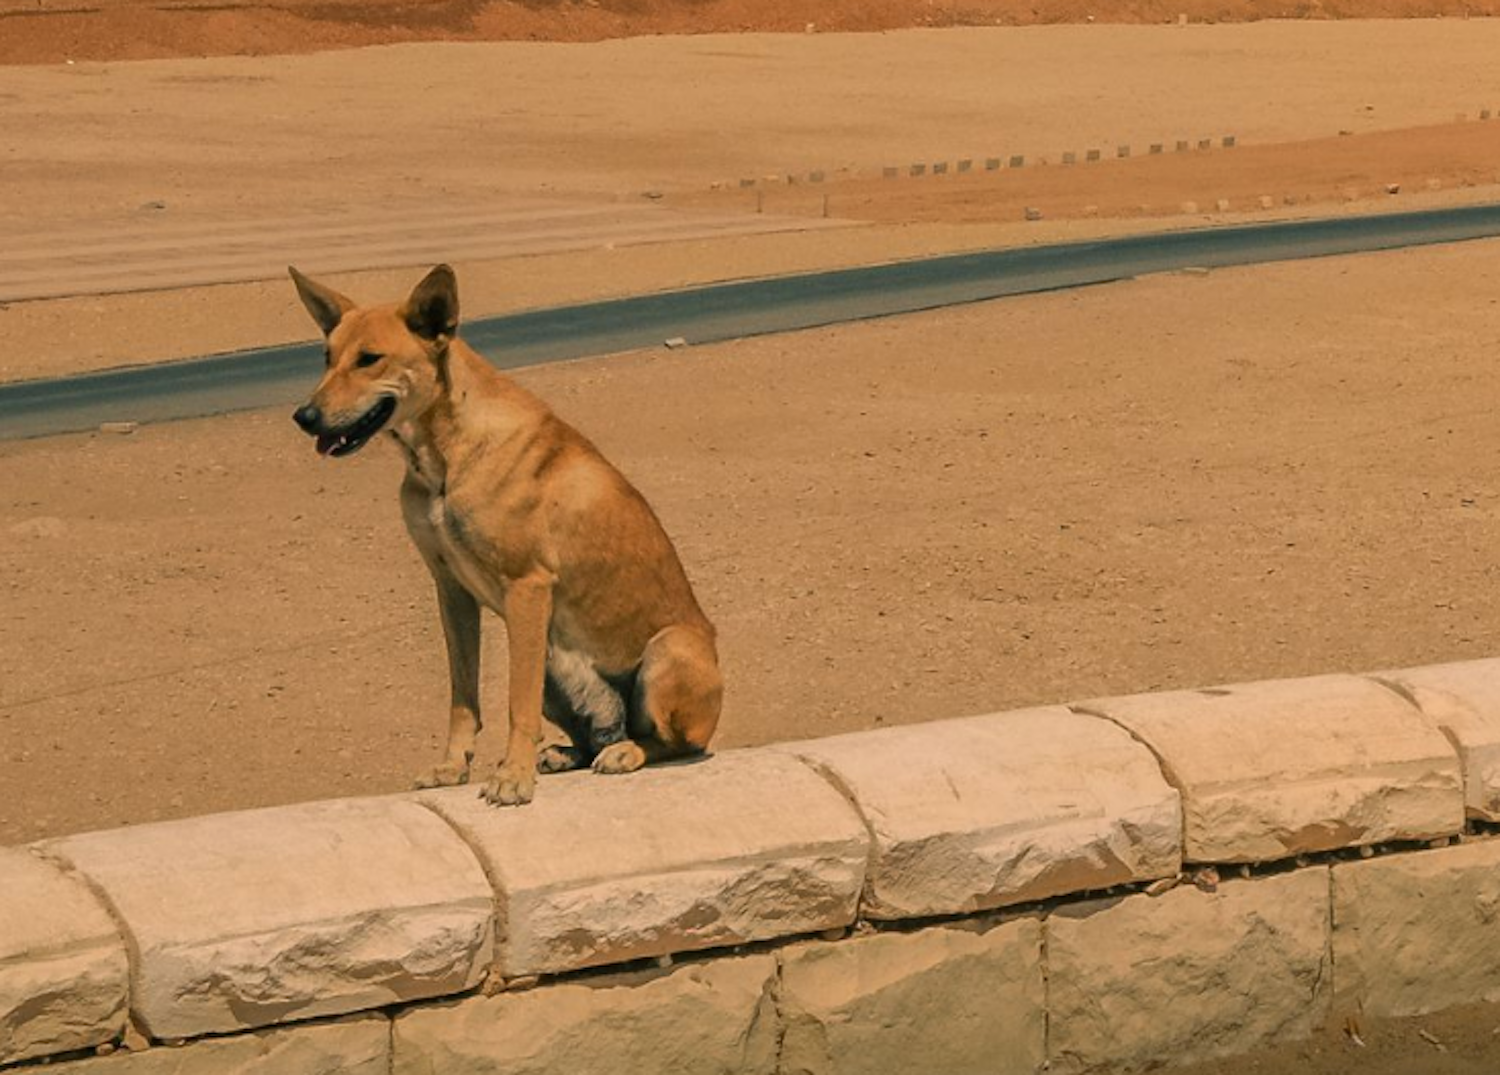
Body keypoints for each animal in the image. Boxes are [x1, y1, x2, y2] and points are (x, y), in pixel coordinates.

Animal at [289, 266, 723, 803]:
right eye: (327, 358)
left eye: (369, 359)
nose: (304, 417)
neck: (445, 454)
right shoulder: (450, 589)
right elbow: (463, 698)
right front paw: (453, 767)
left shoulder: (528, 588)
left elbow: (517, 701)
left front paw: (513, 776)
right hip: (558, 672)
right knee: (593, 736)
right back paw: (567, 753)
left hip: (668, 650)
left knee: (672, 743)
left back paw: (625, 753)